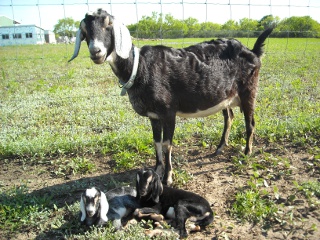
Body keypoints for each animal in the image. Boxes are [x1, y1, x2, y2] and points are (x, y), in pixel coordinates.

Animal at [69, 8, 274, 186]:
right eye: (85, 31)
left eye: (109, 25)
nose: (96, 51)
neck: (140, 67)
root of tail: (253, 51)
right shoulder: (154, 116)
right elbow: (156, 142)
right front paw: (156, 169)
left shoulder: (168, 112)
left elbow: (167, 144)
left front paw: (167, 177)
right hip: (225, 96)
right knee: (229, 117)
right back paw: (219, 148)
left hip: (249, 91)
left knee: (250, 122)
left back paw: (247, 152)